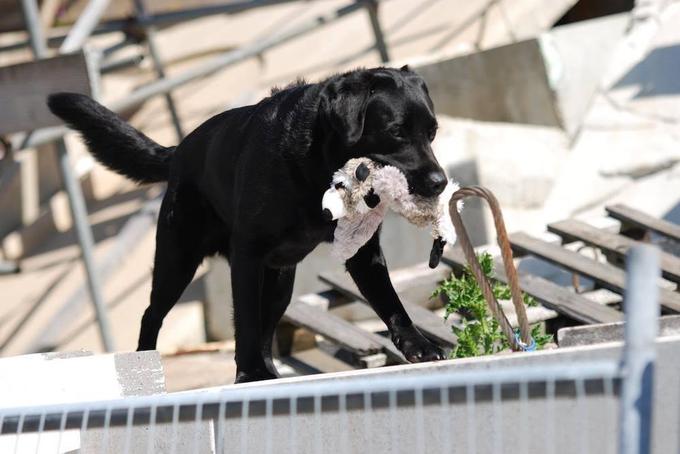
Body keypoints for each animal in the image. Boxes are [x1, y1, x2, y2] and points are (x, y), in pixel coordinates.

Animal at [49, 65, 452, 382]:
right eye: (396, 132)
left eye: (432, 132)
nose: (439, 182)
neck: (319, 164)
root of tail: (179, 150)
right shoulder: (247, 256)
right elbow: (243, 321)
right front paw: (249, 374)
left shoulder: (363, 251)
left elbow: (390, 301)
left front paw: (418, 345)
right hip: (177, 263)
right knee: (153, 315)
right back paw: (145, 367)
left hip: (280, 282)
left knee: (266, 328)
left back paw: (272, 372)